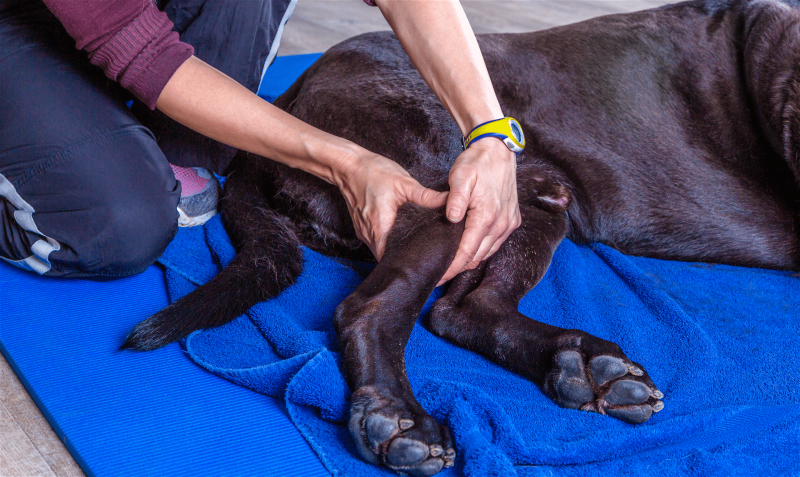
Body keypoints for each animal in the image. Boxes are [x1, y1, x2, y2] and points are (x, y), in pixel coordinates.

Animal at [123, 1, 800, 474]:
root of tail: (286, 96)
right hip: (450, 189)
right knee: (374, 306)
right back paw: (396, 417)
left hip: (529, 201)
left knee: (462, 310)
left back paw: (578, 363)